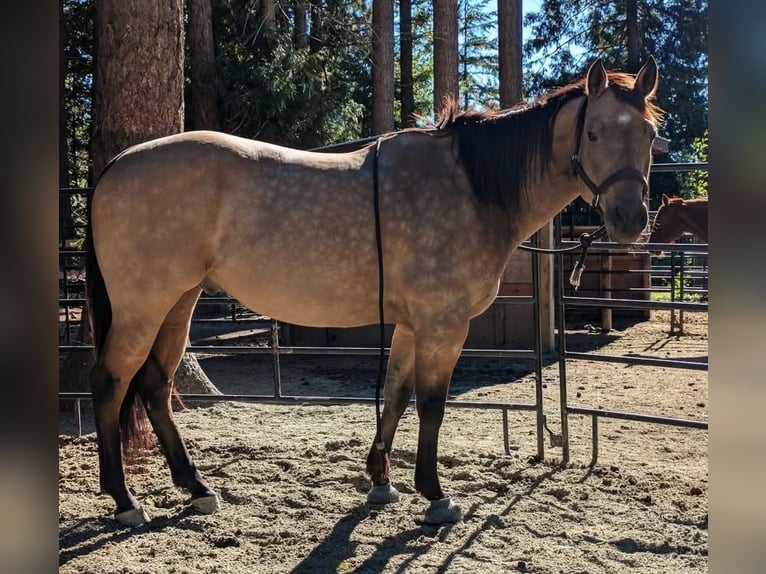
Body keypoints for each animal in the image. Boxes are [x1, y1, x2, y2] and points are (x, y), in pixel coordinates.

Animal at [85, 57, 662, 528]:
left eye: (651, 136)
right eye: (594, 133)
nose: (631, 219)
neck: (470, 188)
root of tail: (118, 164)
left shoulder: (409, 323)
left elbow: (396, 394)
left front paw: (381, 481)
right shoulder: (443, 325)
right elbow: (431, 404)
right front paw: (434, 495)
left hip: (178, 303)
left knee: (155, 386)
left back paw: (197, 488)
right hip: (142, 307)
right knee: (111, 382)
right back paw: (125, 501)